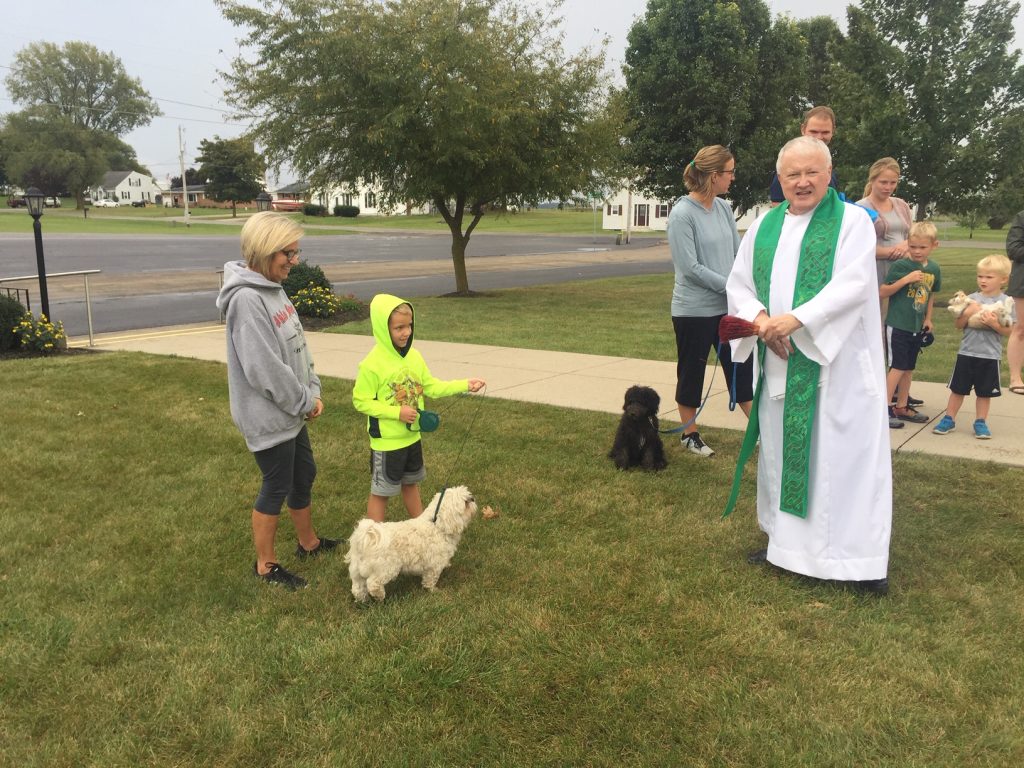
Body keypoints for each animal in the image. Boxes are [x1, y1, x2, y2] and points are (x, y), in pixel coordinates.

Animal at [342, 483, 473, 606]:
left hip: (356, 570)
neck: (436, 525)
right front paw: (433, 590)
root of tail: (366, 537)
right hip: (386, 568)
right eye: (465, 503)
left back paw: (363, 601)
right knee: (373, 584)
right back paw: (380, 596)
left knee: (357, 588)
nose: (472, 498)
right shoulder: (434, 565)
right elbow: (430, 579)